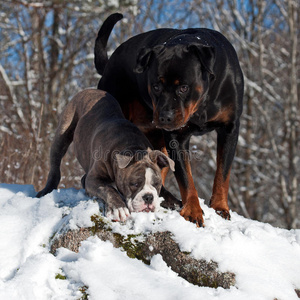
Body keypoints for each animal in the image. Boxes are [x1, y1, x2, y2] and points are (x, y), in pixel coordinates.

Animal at [37, 88, 176, 220]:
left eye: (157, 184)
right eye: (134, 184)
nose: (148, 197)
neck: (132, 146)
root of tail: (90, 90)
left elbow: (167, 194)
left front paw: (174, 202)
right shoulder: (93, 179)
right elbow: (108, 189)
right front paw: (119, 208)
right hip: (63, 133)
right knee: (55, 164)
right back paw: (46, 189)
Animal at [94, 13, 244, 225]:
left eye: (183, 87)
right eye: (156, 86)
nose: (165, 117)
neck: (201, 104)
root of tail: (108, 64)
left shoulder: (229, 128)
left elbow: (223, 173)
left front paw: (220, 207)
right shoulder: (176, 136)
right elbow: (185, 177)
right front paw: (192, 210)